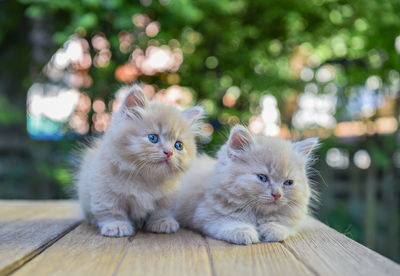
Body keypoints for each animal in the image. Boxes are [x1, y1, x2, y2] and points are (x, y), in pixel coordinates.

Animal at [77, 84, 205, 237]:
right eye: (153, 138)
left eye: (178, 145)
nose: (169, 152)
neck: (145, 179)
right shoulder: (105, 191)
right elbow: (111, 211)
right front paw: (116, 225)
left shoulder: (168, 197)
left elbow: (163, 211)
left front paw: (162, 222)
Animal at [175, 124, 318, 244]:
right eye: (262, 177)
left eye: (288, 182)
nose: (277, 194)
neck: (257, 214)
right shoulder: (204, 213)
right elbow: (228, 221)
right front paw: (243, 231)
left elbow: (284, 225)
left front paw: (274, 229)